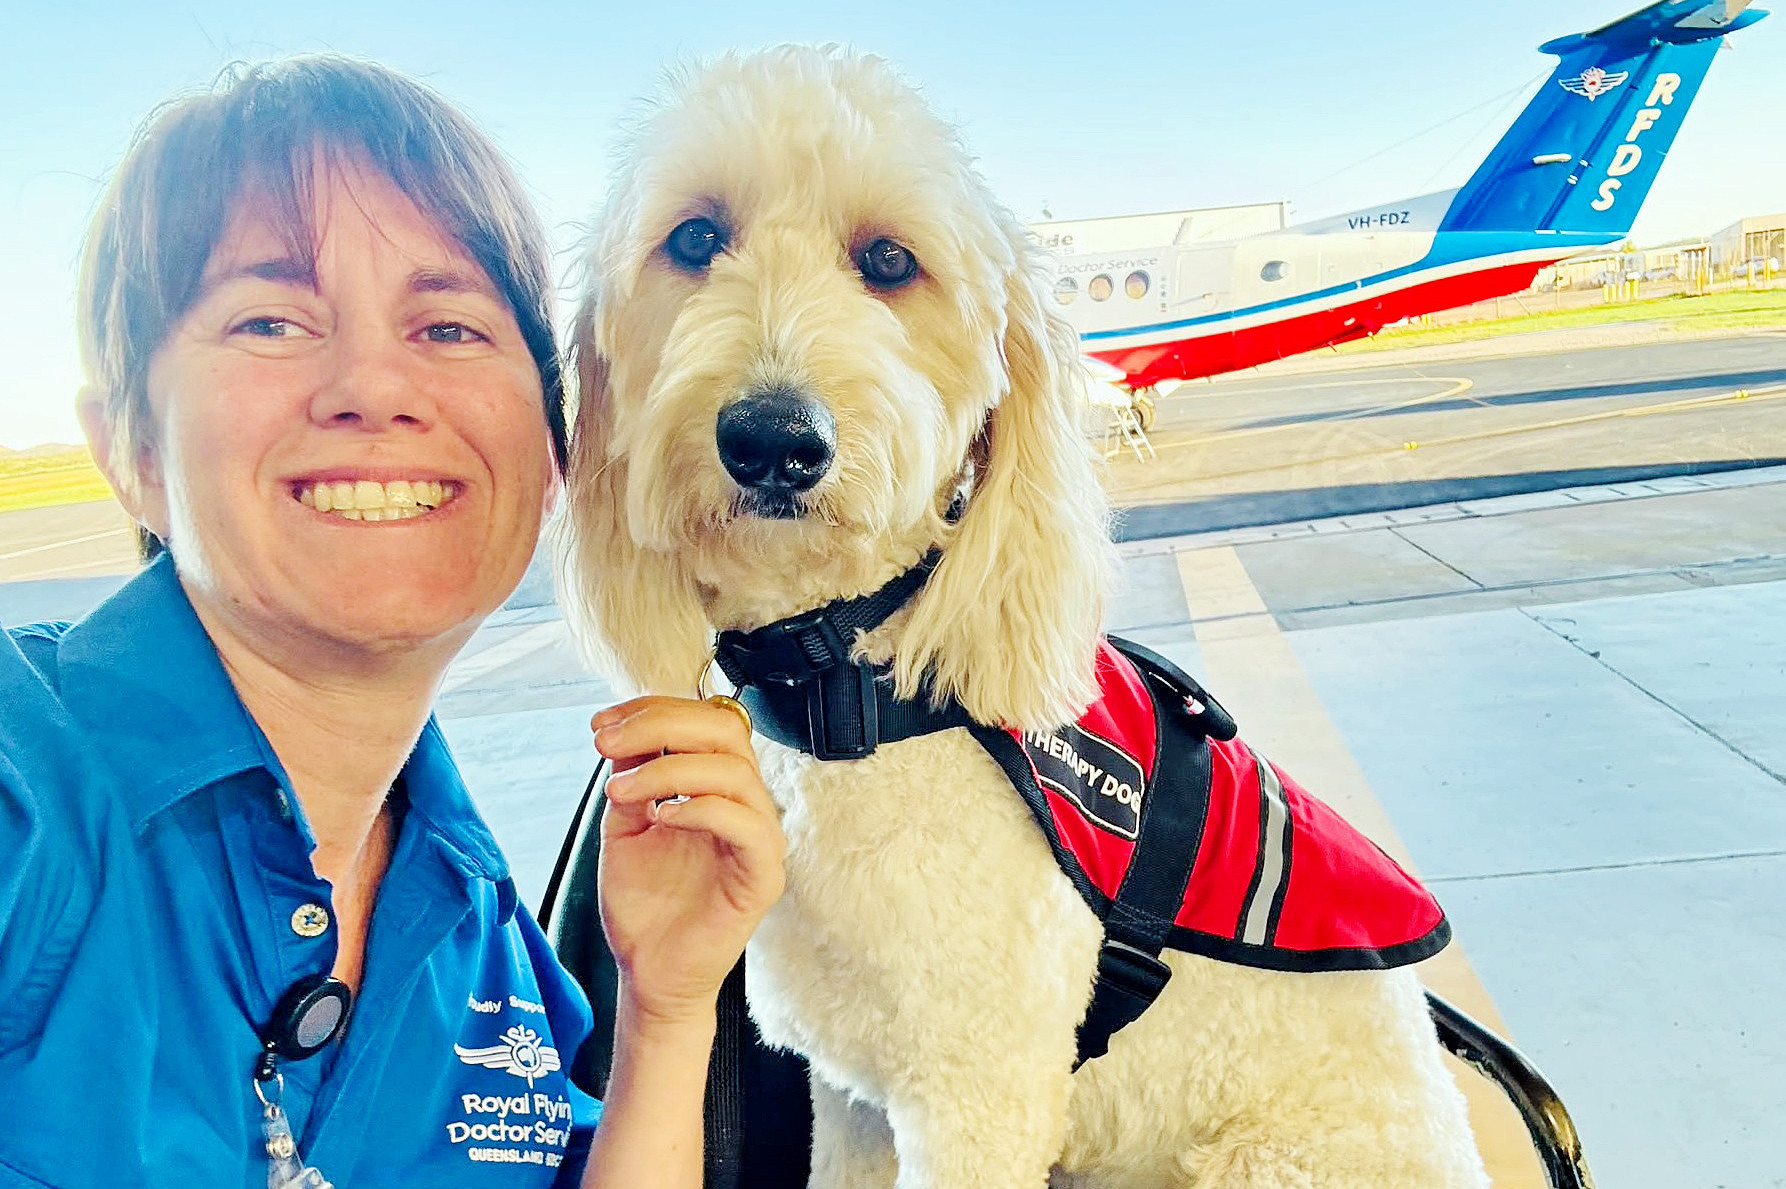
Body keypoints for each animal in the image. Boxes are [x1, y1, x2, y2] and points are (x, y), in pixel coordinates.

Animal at [564, 48, 1485, 1185]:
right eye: (694, 239)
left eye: (889, 259)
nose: (775, 439)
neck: (853, 693)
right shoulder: (854, 1100)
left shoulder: (976, 1099)